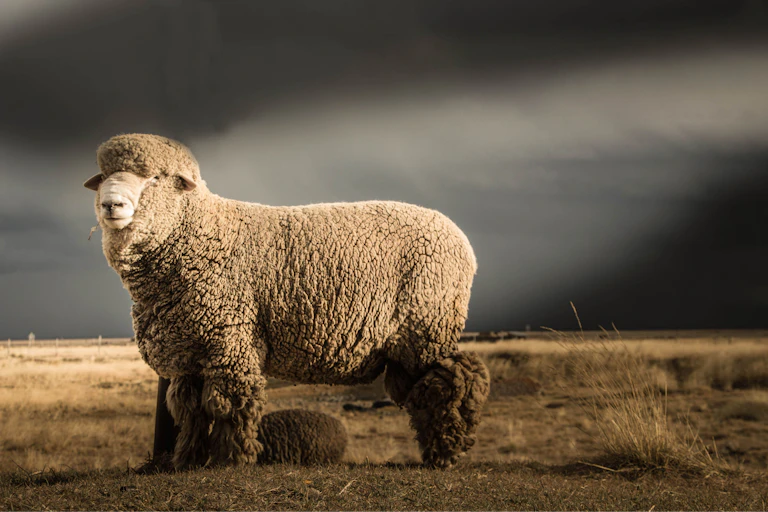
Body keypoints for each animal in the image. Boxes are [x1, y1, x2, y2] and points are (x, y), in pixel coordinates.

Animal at [84, 133, 490, 470]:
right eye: (103, 176)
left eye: (155, 178)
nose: (111, 205)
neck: (201, 233)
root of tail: (461, 238)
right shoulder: (191, 351)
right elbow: (191, 410)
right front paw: (187, 460)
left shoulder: (231, 340)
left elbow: (228, 404)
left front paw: (230, 461)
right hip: (410, 342)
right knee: (427, 387)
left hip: (427, 326)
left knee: (456, 378)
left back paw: (445, 453)